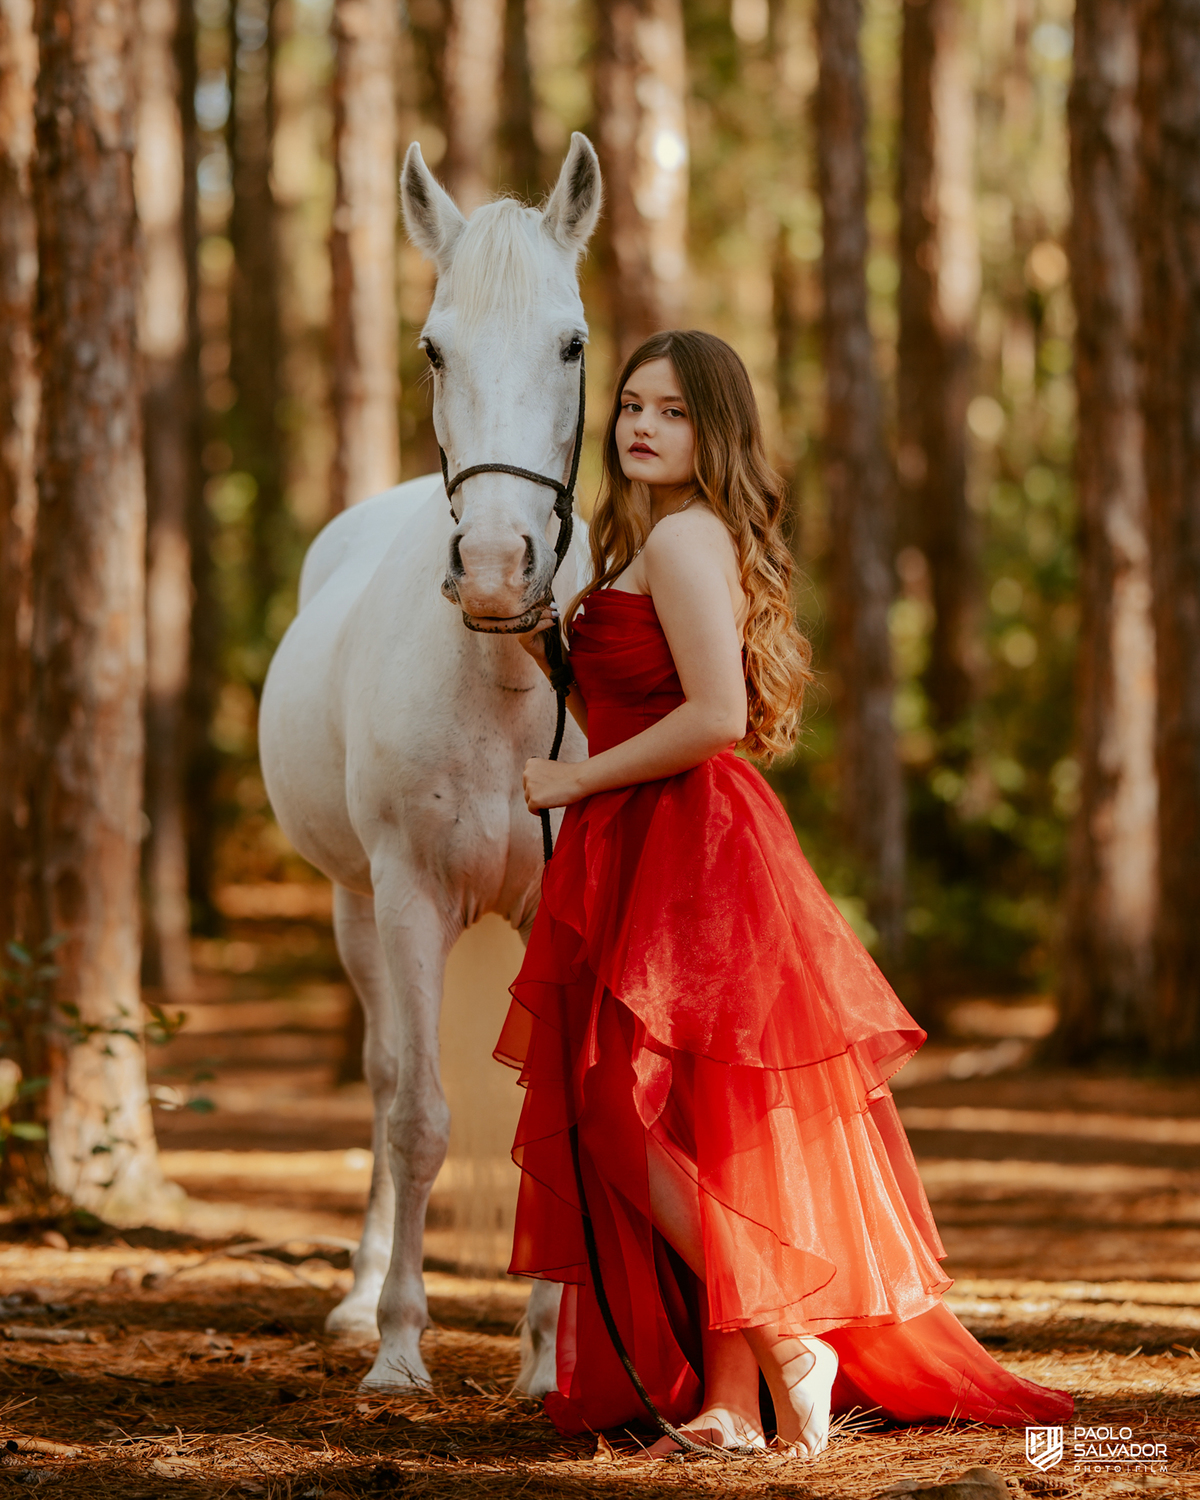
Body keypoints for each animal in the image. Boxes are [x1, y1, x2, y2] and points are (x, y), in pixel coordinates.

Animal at [258, 134, 602, 1393]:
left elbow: (554, 1119)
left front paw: (550, 1362)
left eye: (572, 341)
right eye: (432, 347)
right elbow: (418, 1120)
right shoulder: (408, 895)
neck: (503, 689)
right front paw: (402, 1348)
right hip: (357, 907)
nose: (498, 566)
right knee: (385, 1077)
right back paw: (363, 1300)